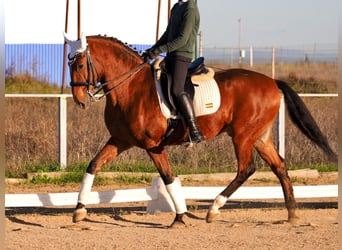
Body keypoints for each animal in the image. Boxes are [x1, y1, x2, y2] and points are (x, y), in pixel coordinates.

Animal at [65, 34, 336, 228]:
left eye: (80, 64)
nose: (79, 100)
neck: (130, 88)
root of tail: (272, 82)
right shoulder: (120, 140)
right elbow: (93, 166)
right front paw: (79, 210)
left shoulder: (153, 145)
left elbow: (168, 178)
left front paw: (180, 217)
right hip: (260, 137)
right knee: (279, 166)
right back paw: (292, 214)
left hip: (243, 136)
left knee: (246, 169)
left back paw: (214, 209)